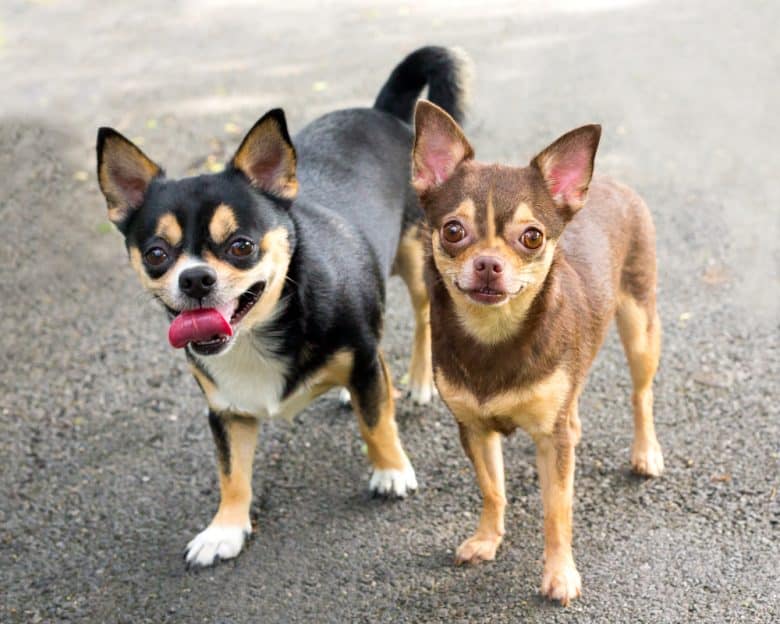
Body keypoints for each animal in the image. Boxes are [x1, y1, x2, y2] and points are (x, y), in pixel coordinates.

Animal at [93, 46, 470, 568]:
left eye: (241, 246)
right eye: (155, 255)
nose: (195, 278)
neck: (261, 330)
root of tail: (382, 111)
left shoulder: (364, 357)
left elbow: (377, 423)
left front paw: (391, 470)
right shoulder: (226, 411)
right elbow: (232, 472)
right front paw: (225, 528)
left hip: (417, 260)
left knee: (422, 320)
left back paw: (416, 383)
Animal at [412, 101, 660, 604]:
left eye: (532, 237)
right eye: (453, 230)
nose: (488, 263)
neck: (494, 336)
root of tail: (609, 183)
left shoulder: (551, 441)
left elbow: (556, 510)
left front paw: (560, 574)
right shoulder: (474, 430)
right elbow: (492, 489)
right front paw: (487, 539)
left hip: (641, 328)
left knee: (640, 394)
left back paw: (646, 452)